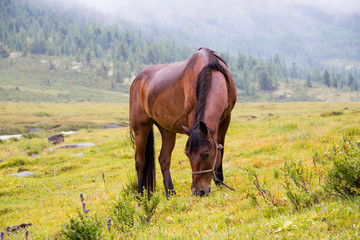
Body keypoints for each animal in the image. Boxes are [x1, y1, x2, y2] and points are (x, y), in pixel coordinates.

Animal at [129, 47, 236, 197]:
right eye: (188, 154)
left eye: (206, 154)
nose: (199, 191)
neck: (211, 70)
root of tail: (136, 82)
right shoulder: (192, 118)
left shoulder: (226, 118)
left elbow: (221, 147)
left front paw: (219, 181)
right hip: (140, 128)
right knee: (140, 161)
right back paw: (140, 196)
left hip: (167, 130)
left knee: (163, 160)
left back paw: (170, 194)